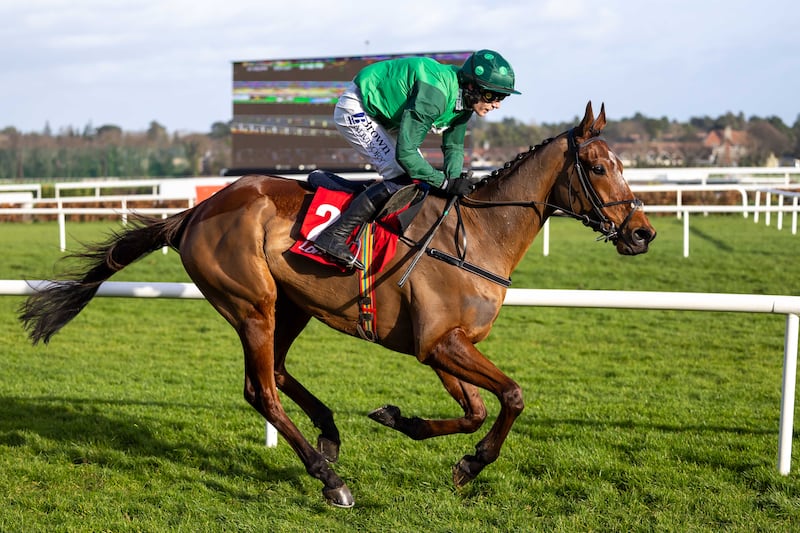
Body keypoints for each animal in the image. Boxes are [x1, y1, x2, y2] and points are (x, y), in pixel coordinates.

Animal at [18, 101, 656, 508]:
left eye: (624, 165)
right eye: (598, 166)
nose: (643, 232)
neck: (475, 235)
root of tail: (195, 212)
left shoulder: (443, 346)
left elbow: (476, 408)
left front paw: (405, 423)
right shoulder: (438, 343)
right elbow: (513, 397)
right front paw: (471, 462)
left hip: (291, 305)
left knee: (276, 372)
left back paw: (328, 431)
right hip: (251, 303)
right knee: (262, 390)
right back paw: (330, 479)